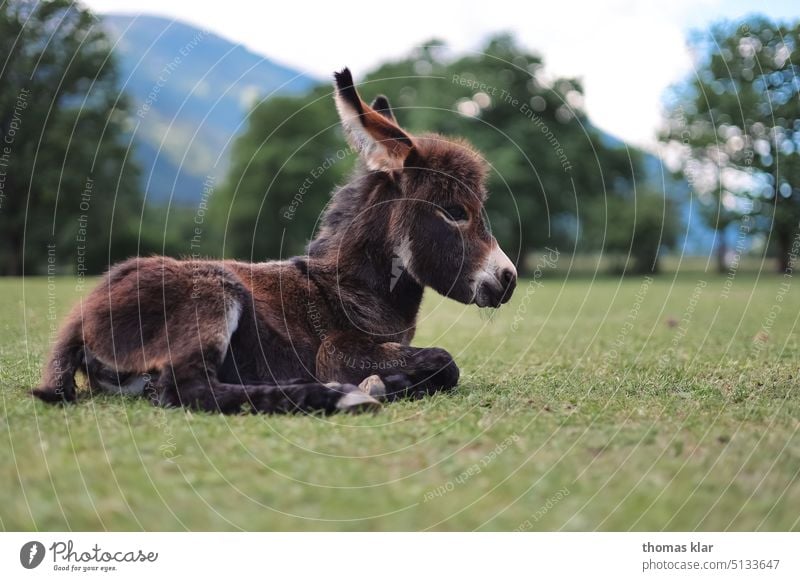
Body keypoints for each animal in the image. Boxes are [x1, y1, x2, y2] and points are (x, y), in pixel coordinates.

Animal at [32, 68, 520, 412]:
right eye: (455, 212)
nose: (509, 278)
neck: (350, 288)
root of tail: (83, 314)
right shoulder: (338, 350)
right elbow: (445, 361)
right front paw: (376, 384)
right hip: (212, 296)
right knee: (189, 391)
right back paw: (336, 395)